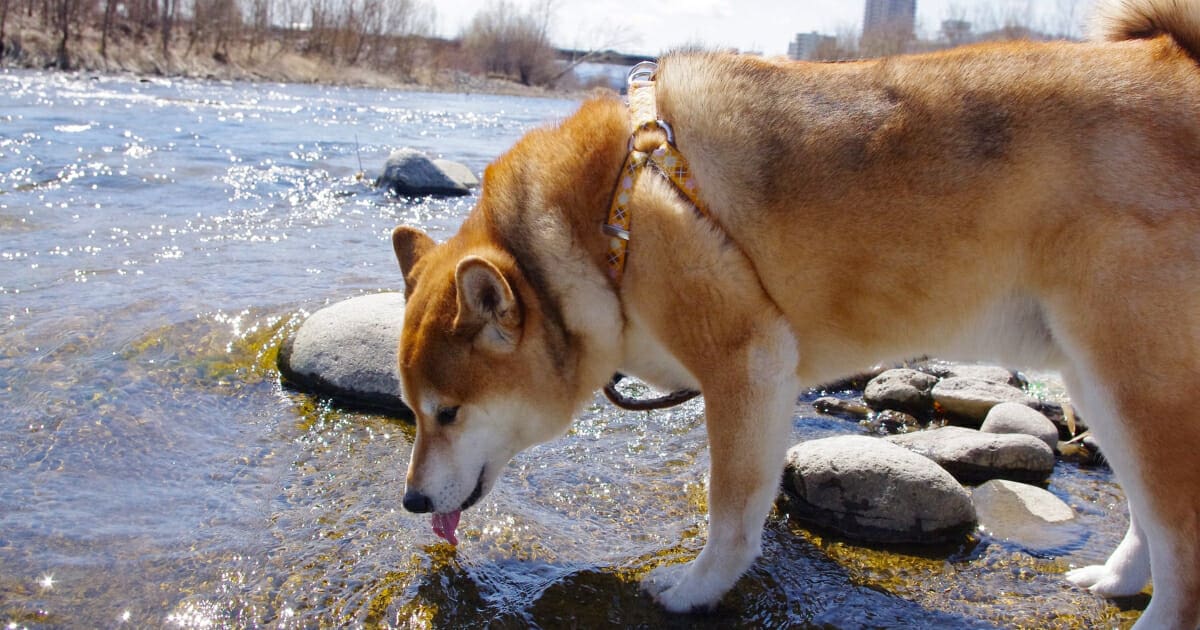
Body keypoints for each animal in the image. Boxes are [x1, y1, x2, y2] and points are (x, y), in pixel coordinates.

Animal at [391, 0, 1200, 624]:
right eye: (415, 410)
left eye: (448, 413)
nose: (411, 500)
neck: (604, 230)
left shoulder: (746, 364)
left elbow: (731, 510)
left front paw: (696, 589)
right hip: (1100, 383)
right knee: (1146, 521)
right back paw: (1116, 579)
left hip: (1139, 385)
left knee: (1182, 553)